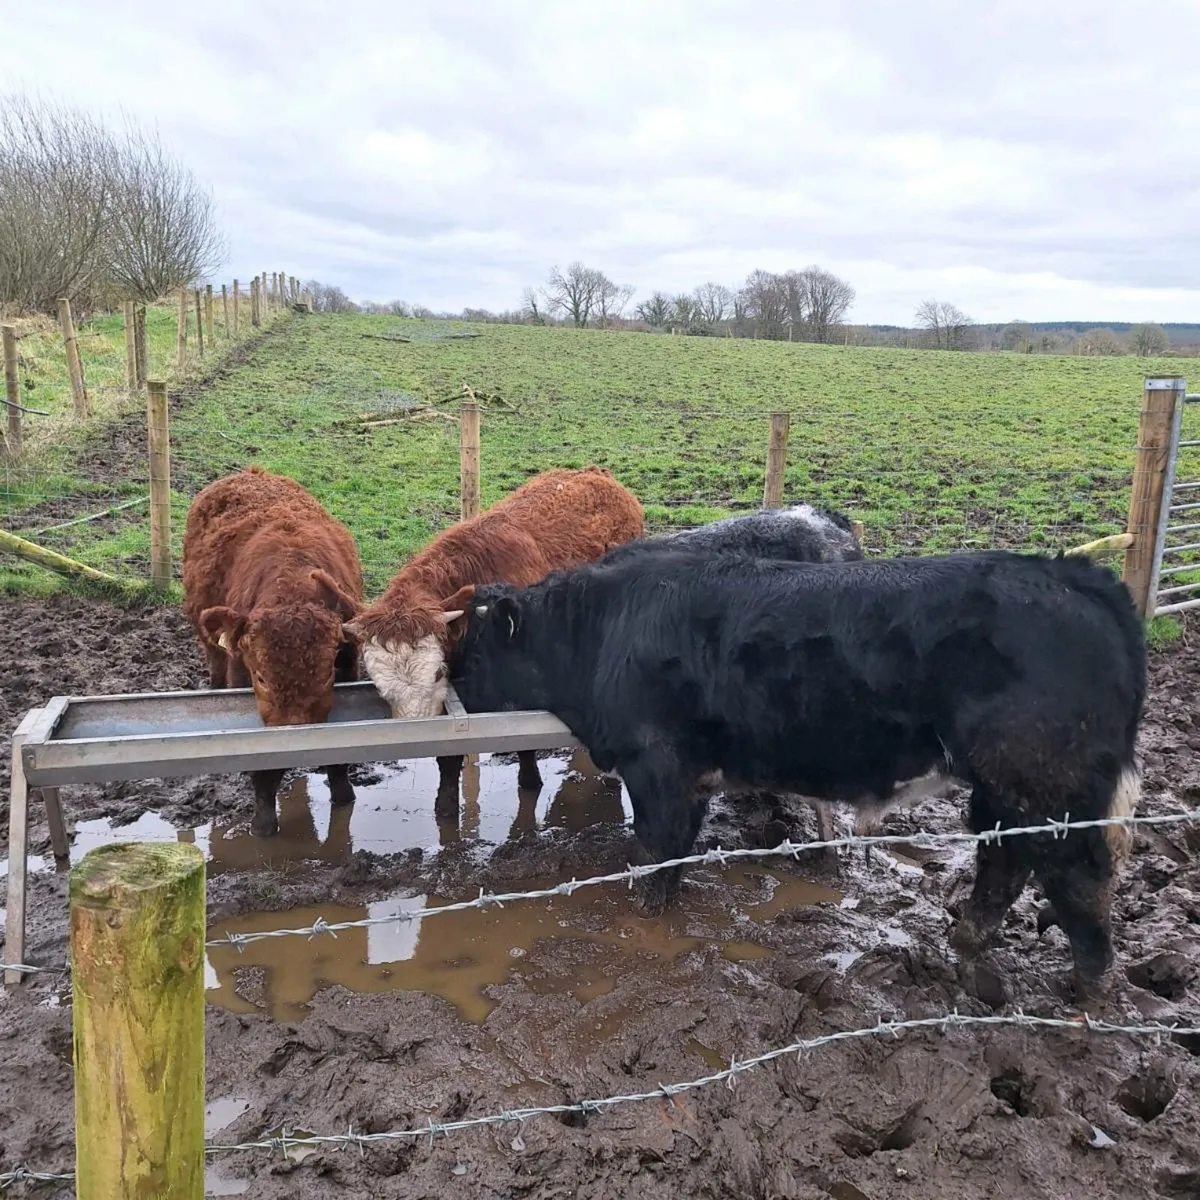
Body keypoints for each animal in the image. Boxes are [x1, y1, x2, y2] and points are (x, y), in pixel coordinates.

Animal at [182, 465, 364, 837]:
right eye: (261, 677)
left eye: (325, 673)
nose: (294, 731)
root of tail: (249, 472)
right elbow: (262, 768)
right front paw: (263, 826)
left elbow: (339, 759)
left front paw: (343, 796)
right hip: (209, 645)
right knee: (214, 669)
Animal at [346, 466, 643, 813]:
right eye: (380, 687)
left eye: (437, 673)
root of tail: (596, 472)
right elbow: (450, 755)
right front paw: (445, 807)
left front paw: (530, 783)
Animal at [447, 549, 1145, 998]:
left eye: (473, 654)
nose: (450, 693)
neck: (607, 629)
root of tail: (1074, 576)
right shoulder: (689, 778)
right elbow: (676, 853)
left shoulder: (658, 768)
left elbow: (656, 852)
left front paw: (643, 921)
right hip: (1006, 793)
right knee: (1005, 863)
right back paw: (971, 945)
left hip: (1046, 789)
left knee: (1074, 878)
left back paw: (1085, 986)